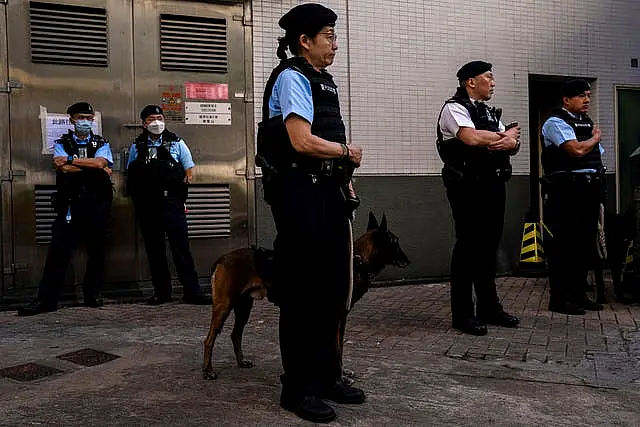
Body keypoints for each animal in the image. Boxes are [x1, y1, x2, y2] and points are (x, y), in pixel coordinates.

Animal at [202, 213, 408, 382]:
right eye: (396, 242)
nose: (408, 260)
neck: (356, 261)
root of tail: (222, 258)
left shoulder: (339, 319)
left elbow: (339, 349)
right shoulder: (335, 319)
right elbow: (336, 349)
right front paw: (339, 377)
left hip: (244, 307)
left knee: (235, 334)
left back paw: (241, 362)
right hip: (224, 305)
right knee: (209, 339)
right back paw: (208, 371)